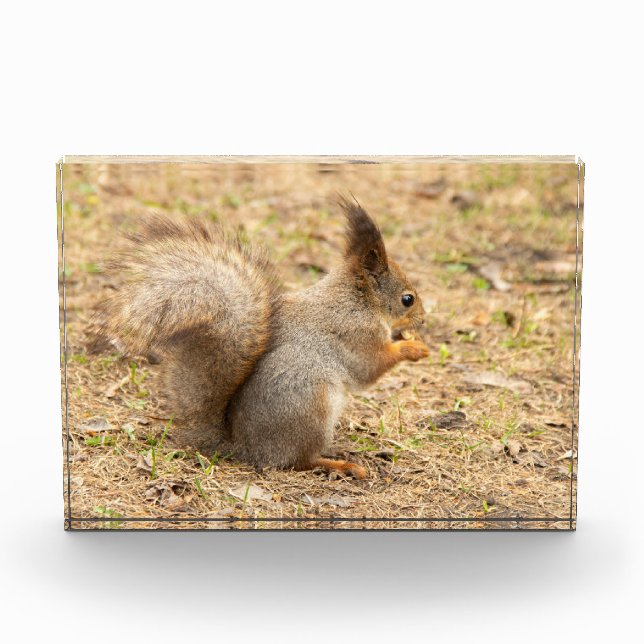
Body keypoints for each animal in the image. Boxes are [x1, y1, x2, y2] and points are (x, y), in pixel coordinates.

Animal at [94, 196, 429, 479]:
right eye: (407, 299)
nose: (423, 319)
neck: (357, 300)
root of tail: (246, 449)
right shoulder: (357, 334)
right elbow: (370, 368)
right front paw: (413, 348)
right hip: (311, 408)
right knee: (299, 461)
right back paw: (341, 464)